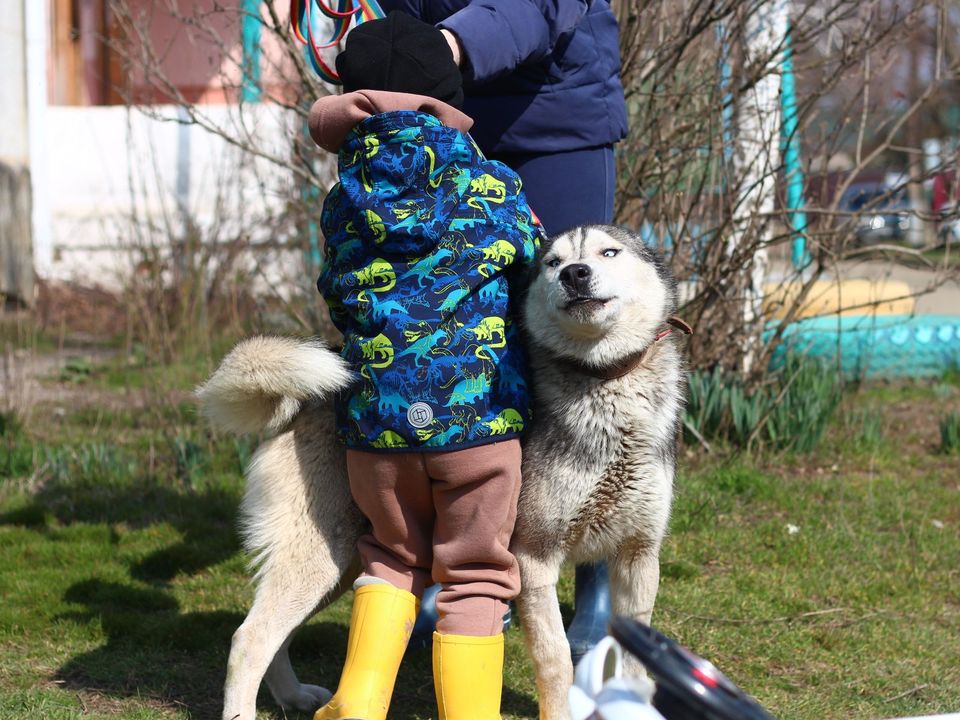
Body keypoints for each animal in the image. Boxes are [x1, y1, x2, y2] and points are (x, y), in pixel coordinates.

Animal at [199, 225, 688, 720]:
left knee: (281, 633)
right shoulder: (534, 559)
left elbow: (633, 660)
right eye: (553, 262)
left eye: (610, 252)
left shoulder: (638, 557)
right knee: (250, 638)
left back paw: (294, 696)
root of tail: (301, 403)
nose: (576, 274)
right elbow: (555, 662)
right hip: (320, 559)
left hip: (343, 565)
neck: (604, 381)